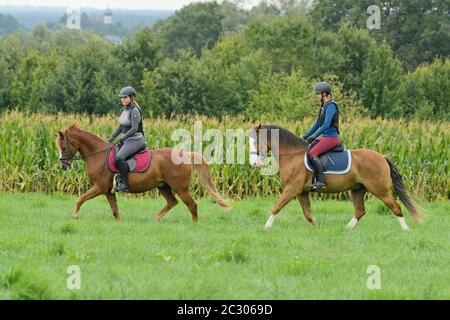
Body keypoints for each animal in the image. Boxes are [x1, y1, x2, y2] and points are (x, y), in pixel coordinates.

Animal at [55, 125, 229, 222]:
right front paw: (120, 223)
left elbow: (80, 199)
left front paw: (75, 216)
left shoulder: (99, 187)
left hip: (180, 188)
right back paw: (156, 219)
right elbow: (115, 210)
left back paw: (194, 224)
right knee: (172, 202)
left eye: (63, 147)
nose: (63, 165)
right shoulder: (108, 191)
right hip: (163, 186)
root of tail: (184, 154)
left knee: (192, 205)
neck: (97, 155)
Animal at [250, 124, 422, 230]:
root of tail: (382, 156)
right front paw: (318, 228)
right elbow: (308, 214)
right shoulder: (302, 192)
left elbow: (276, 207)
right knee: (360, 211)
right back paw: (347, 229)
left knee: (396, 207)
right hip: (358, 190)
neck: (292, 155)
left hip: (380, 189)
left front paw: (265, 227)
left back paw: (405, 230)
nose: (253, 163)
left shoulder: (292, 190)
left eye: (257, 141)